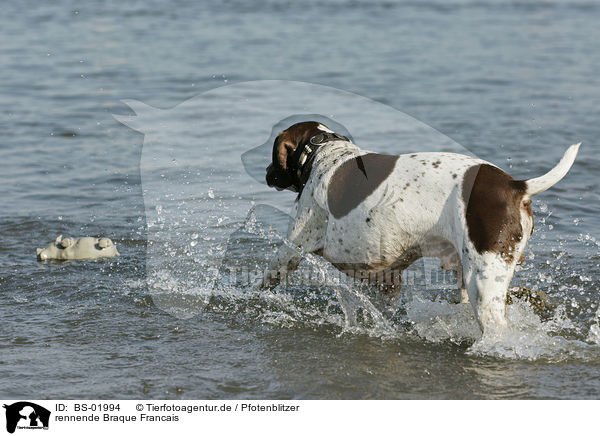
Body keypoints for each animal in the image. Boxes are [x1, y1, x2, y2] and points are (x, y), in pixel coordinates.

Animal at [260, 121, 580, 332]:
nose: (266, 172)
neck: (327, 154)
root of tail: (516, 186)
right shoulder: (387, 277)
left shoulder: (292, 249)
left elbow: (267, 279)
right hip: (470, 277)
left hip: (483, 281)